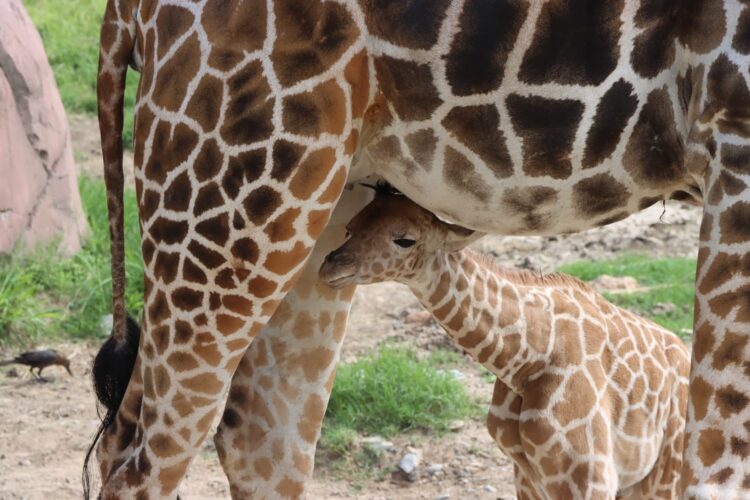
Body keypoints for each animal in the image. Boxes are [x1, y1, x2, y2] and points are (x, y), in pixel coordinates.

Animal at [319, 186, 691, 499]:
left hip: (663, 477)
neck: (526, 360)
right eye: (349, 227)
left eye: (405, 240)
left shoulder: (589, 476)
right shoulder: (526, 475)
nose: (329, 267)